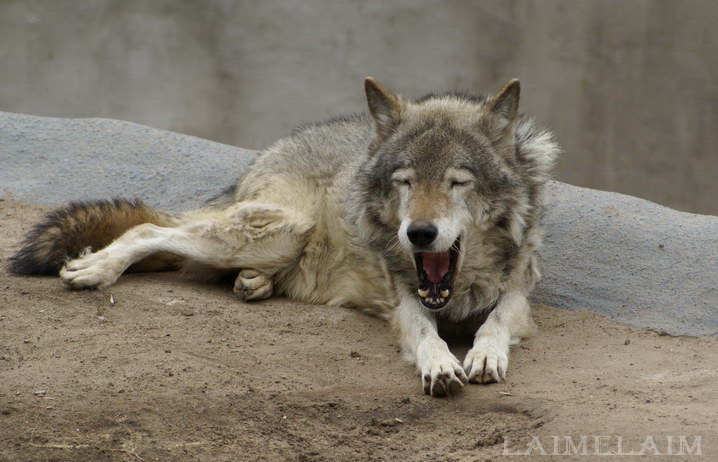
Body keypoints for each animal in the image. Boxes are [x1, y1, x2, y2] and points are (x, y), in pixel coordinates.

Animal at [10, 77, 559, 397]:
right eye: (404, 181)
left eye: (457, 182)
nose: (419, 233)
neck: (456, 291)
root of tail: (265, 153)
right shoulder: (406, 300)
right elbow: (427, 334)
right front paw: (442, 364)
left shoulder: (518, 293)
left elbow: (496, 321)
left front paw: (485, 353)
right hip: (277, 231)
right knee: (151, 228)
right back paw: (95, 268)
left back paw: (254, 283)